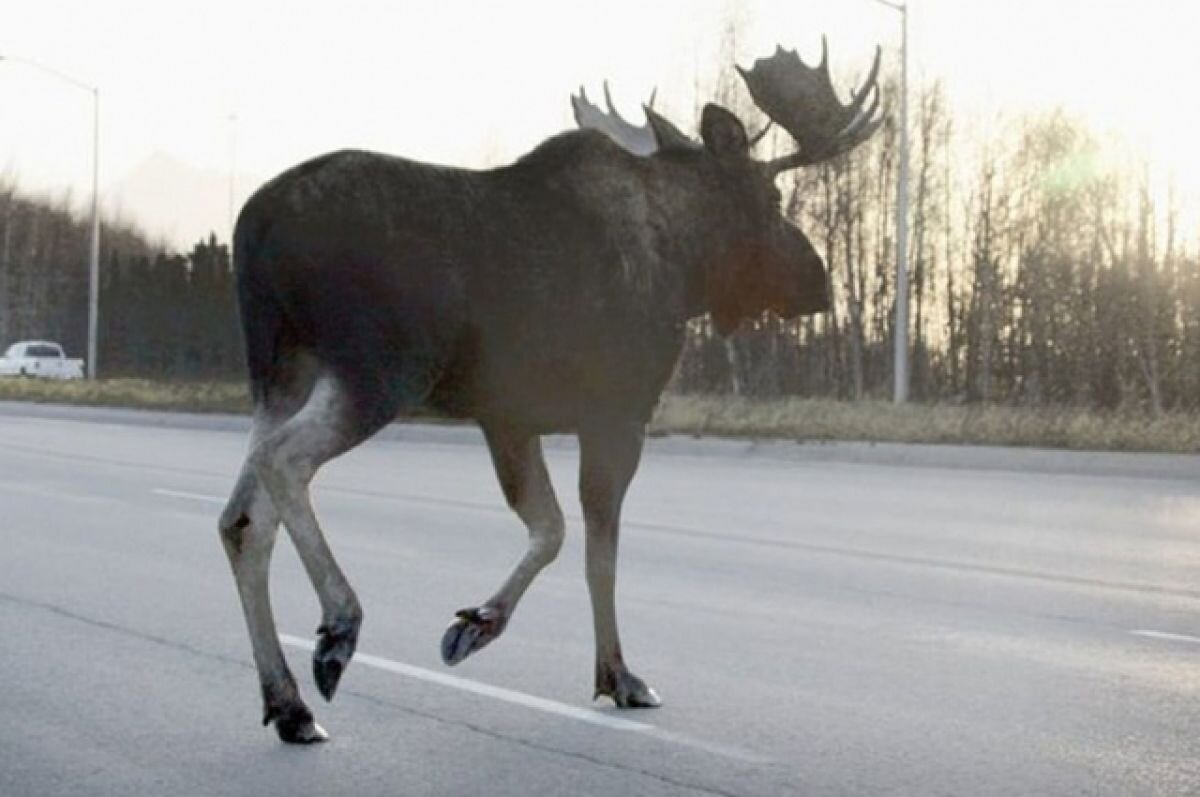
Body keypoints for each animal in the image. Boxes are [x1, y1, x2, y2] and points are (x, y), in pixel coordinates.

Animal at [218, 39, 883, 739]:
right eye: (773, 197)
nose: (819, 283)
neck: (688, 264)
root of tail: (253, 226)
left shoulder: (510, 417)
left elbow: (549, 528)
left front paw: (476, 624)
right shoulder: (616, 411)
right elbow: (596, 548)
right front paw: (617, 675)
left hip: (282, 369)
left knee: (243, 520)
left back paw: (288, 705)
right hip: (378, 370)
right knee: (283, 461)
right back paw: (338, 631)